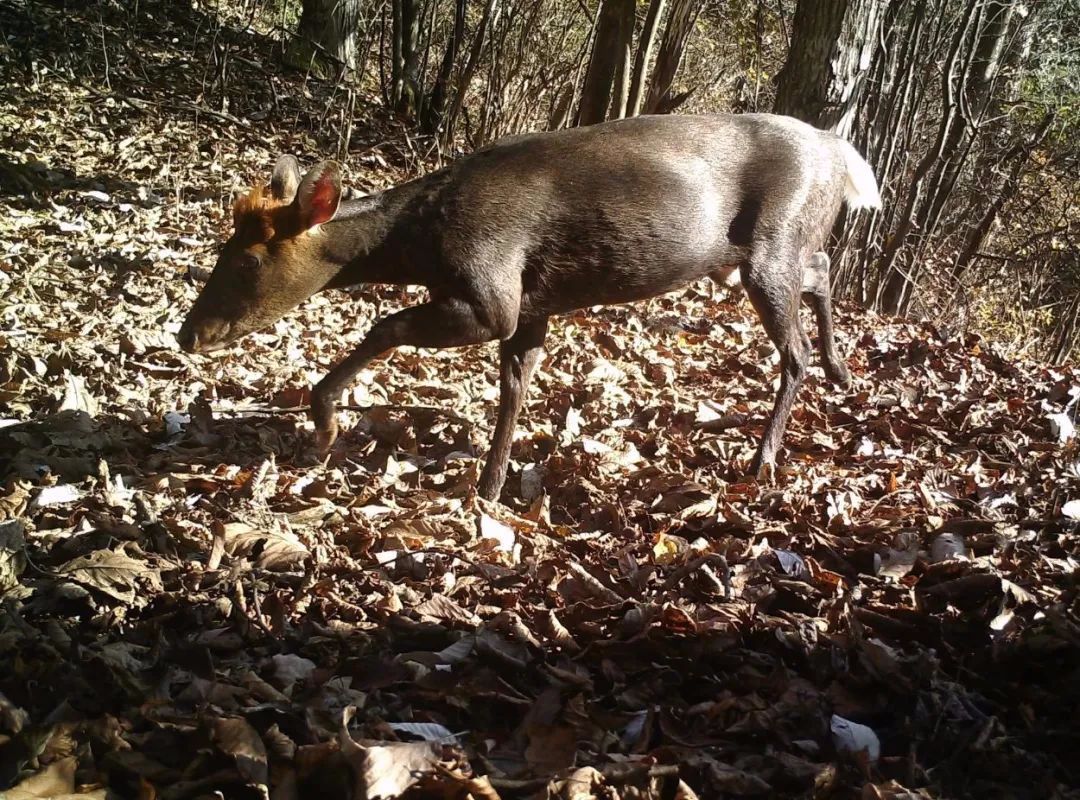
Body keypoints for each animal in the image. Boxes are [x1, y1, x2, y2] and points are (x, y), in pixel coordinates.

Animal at [177, 112, 881, 498]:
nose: (187, 334)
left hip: (769, 245)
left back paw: (765, 457)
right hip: (766, 252)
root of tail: (842, 153)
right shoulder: (534, 304)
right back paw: (843, 371)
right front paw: (491, 490)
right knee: (821, 269)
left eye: (247, 260)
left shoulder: (495, 293)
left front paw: (323, 424)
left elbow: (386, 324)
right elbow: (515, 387)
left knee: (792, 349)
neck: (421, 243)